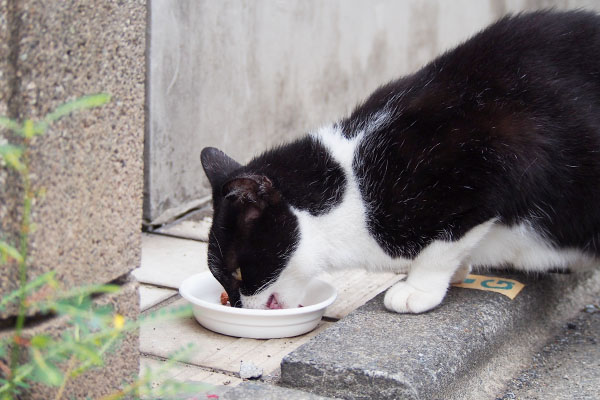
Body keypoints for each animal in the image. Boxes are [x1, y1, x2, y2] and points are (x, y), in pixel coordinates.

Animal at [200, 10, 600, 312]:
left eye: (237, 273)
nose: (236, 304)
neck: (355, 190)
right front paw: (460, 269)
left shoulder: (495, 159)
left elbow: (445, 240)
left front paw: (419, 287)